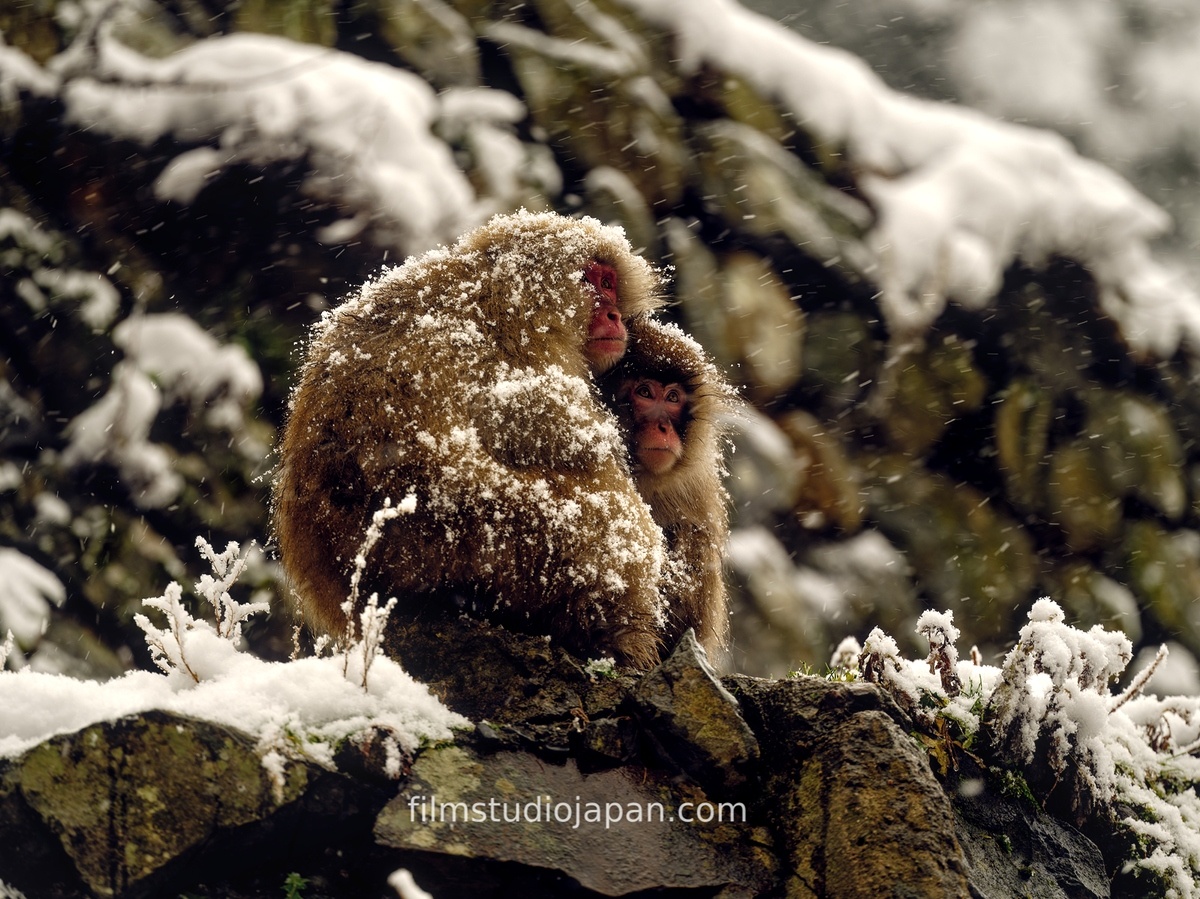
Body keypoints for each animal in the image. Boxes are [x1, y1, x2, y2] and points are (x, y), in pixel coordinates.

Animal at [272, 210, 675, 669]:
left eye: (610, 283)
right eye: (595, 281)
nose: (614, 316)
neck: (503, 300)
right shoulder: (532, 357)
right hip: (483, 540)